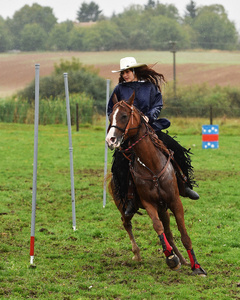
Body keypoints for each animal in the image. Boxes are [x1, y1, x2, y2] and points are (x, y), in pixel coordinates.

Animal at [106, 93, 207, 276]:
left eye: (124, 116)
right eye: (110, 116)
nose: (110, 140)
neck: (151, 166)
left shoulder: (174, 201)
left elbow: (183, 233)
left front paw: (196, 266)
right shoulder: (149, 203)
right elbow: (157, 226)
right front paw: (170, 258)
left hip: (163, 208)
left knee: (169, 232)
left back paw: (182, 259)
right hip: (125, 207)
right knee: (127, 223)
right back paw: (138, 254)